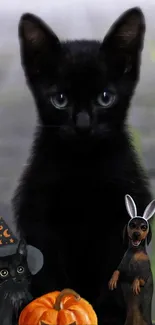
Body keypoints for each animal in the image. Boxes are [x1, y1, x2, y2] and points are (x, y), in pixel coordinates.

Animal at [12, 6, 152, 324]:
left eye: (105, 98)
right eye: (60, 100)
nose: (83, 125)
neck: (84, 167)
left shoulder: (122, 215)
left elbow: (115, 273)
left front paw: (107, 312)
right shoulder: (38, 217)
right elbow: (50, 273)